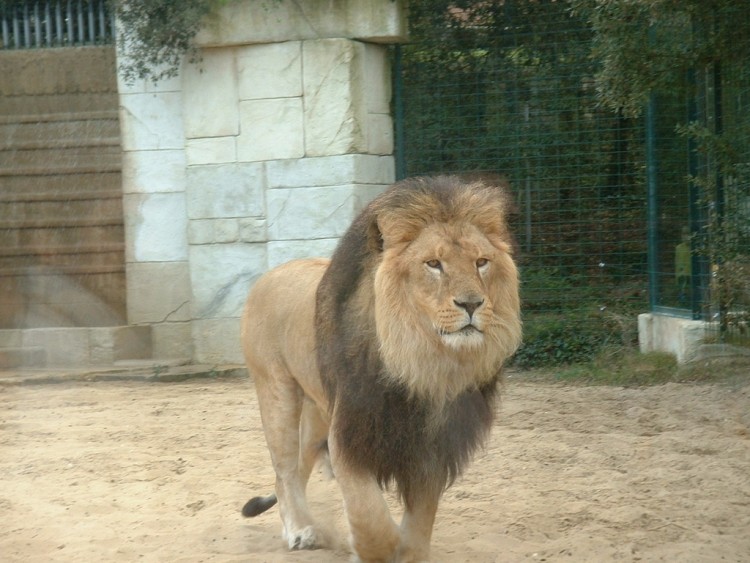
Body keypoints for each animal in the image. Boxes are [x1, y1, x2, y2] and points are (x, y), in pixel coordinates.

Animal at [241, 175, 524, 560]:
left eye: (481, 262)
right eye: (433, 264)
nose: (472, 303)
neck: (423, 362)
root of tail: (269, 274)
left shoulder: (431, 444)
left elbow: (421, 522)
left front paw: (408, 550)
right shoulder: (350, 434)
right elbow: (370, 516)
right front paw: (369, 546)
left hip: (316, 412)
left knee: (296, 469)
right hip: (277, 394)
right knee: (283, 471)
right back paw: (299, 530)